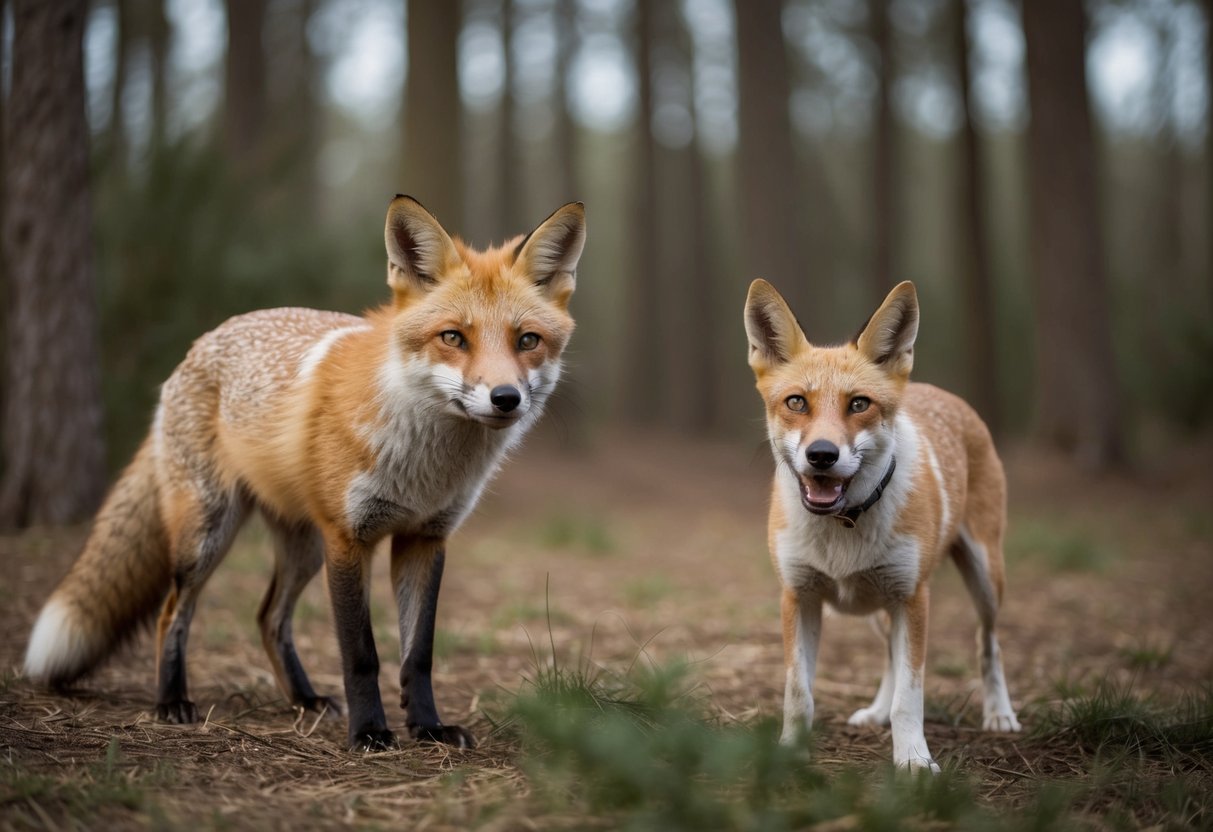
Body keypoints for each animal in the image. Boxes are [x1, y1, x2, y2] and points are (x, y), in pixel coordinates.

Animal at [23, 195, 587, 752]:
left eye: (527, 340)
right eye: (453, 337)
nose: (505, 398)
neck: (423, 464)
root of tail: (200, 344)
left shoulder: (425, 538)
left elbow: (418, 654)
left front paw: (428, 728)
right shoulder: (348, 537)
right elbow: (361, 654)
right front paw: (369, 732)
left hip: (302, 548)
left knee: (268, 617)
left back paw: (305, 699)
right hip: (208, 534)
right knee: (172, 613)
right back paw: (172, 701)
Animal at [743, 279, 1020, 772]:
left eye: (859, 404)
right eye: (796, 402)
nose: (822, 454)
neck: (843, 528)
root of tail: (940, 392)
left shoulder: (912, 597)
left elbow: (909, 698)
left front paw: (913, 761)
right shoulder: (799, 596)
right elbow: (799, 694)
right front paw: (790, 753)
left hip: (984, 579)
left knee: (989, 645)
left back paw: (999, 714)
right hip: (877, 607)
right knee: (890, 660)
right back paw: (874, 712)